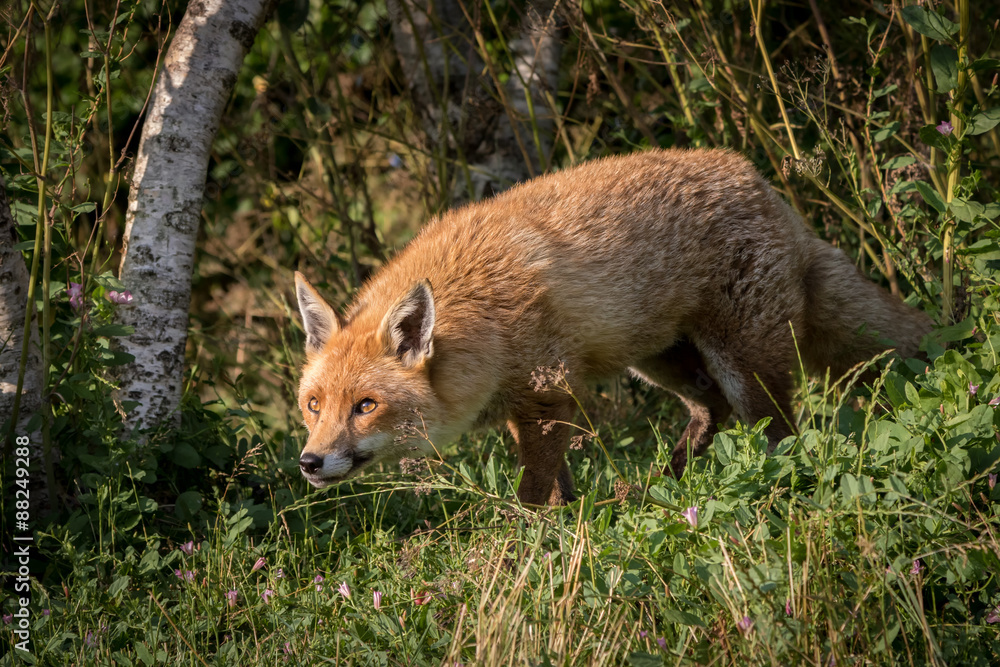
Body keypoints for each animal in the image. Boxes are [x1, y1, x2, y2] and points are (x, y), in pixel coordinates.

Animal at [293, 148, 932, 506]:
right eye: (313, 405)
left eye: (367, 406)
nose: (309, 462)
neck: (484, 316)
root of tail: (766, 187)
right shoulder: (535, 405)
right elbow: (559, 484)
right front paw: (566, 525)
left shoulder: (546, 395)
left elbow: (533, 491)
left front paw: (520, 545)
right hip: (659, 361)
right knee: (710, 410)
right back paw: (662, 485)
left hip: (742, 361)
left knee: (778, 433)